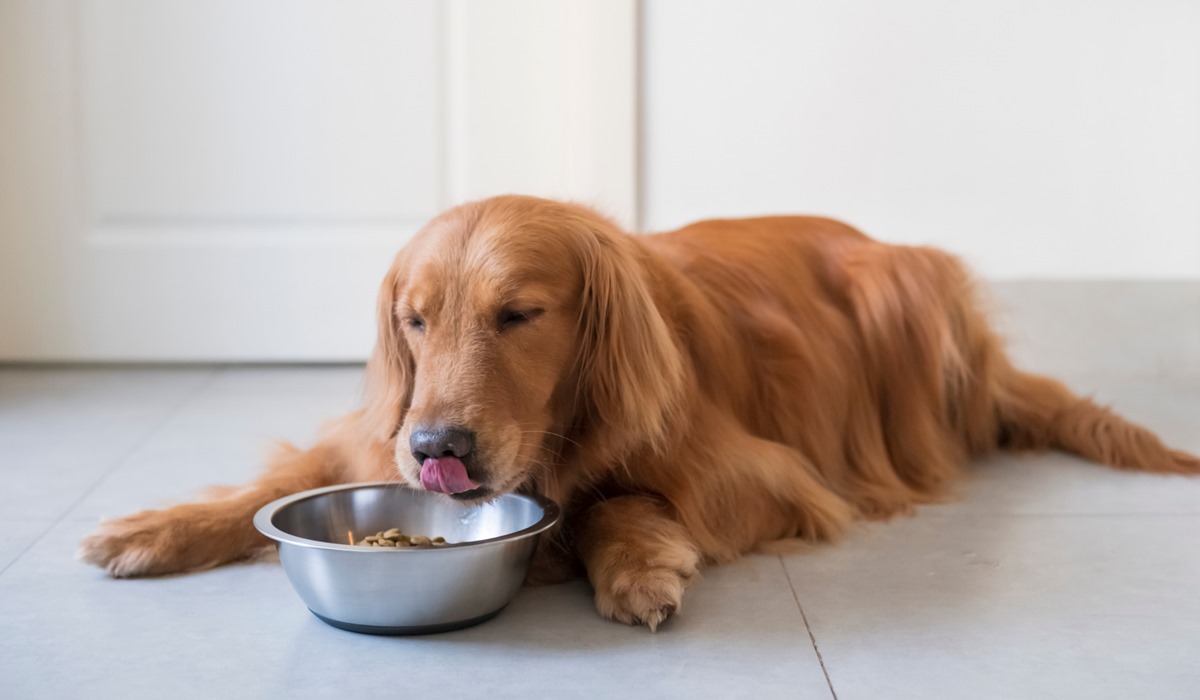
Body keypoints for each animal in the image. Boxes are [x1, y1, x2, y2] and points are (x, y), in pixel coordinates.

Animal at [77, 195, 1200, 629]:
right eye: (414, 319)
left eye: (519, 314)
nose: (438, 447)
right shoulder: (374, 431)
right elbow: (275, 485)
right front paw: (155, 527)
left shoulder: (765, 475)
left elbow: (618, 499)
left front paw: (633, 565)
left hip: (905, 291)